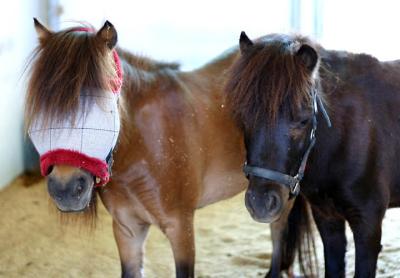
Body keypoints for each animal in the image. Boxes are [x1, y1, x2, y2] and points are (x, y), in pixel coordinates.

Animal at [25, 20, 312, 278]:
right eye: (41, 107)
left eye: (104, 103)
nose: (65, 190)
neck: (140, 146)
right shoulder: (127, 229)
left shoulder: (181, 228)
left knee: (278, 233)